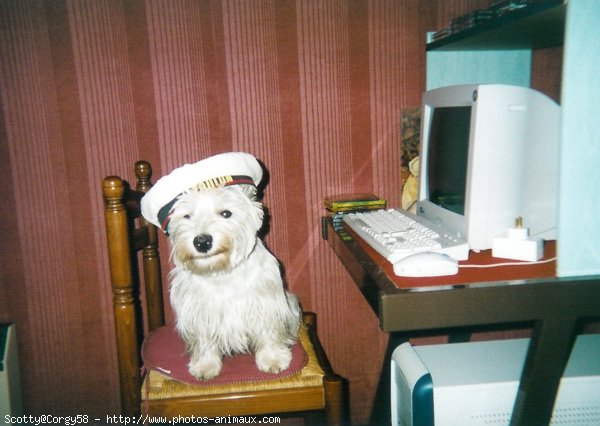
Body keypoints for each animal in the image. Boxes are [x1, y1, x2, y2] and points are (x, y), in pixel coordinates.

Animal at [161, 176, 300, 380]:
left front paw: (273, 360)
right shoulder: (200, 312)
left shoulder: (264, 303)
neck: (220, 272)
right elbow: (205, 340)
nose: (202, 241)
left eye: (226, 213)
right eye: (187, 216)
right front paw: (205, 366)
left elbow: (268, 332)